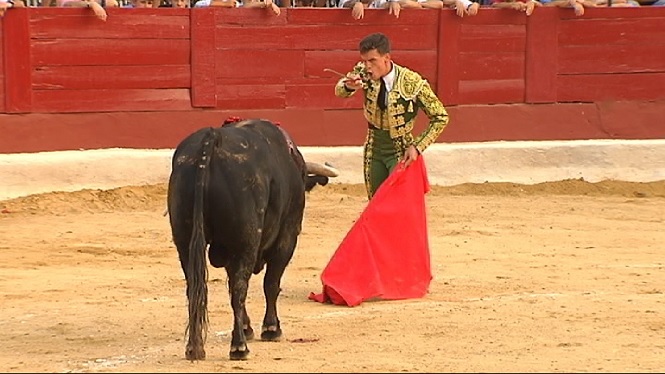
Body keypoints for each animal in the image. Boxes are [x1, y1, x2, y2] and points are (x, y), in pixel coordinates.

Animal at [166, 118, 332, 360]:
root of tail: (212, 139)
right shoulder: (287, 236)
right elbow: (271, 283)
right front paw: (271, 328)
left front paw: (248, 327)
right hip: (246, 240)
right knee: (240, 288)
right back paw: (239, 347)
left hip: (185, 241)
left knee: (195, 288)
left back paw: (194, 348)